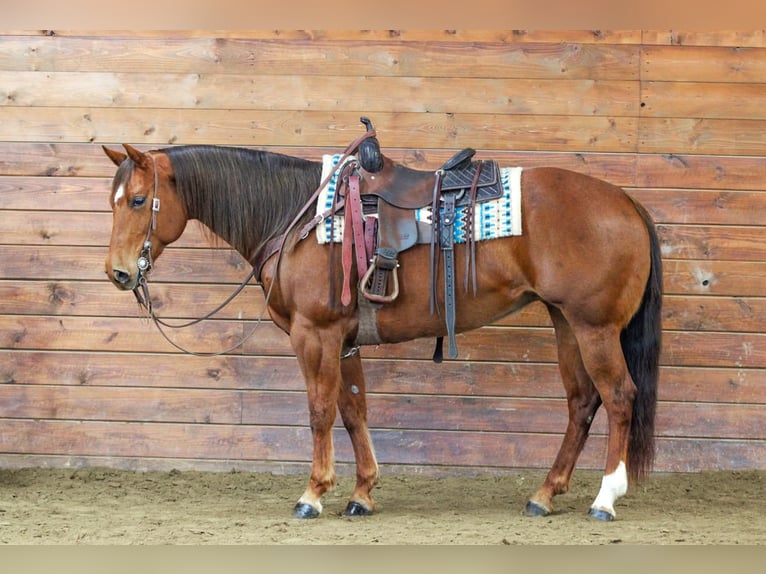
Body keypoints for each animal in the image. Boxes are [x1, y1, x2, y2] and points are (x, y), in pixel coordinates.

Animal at [102, 129, 662, 522]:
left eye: (138, 200)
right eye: (115, 201)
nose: (119, 273)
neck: (296, 218)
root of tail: (626, 201)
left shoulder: (315, 334)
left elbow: (321, 410)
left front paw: (313, 493)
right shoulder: (345, 341)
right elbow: (354, 410)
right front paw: (362, 493)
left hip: (594, 327)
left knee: (618, 397)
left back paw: (605, 498)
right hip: (565, 321)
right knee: (582, 402)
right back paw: (545, 493)